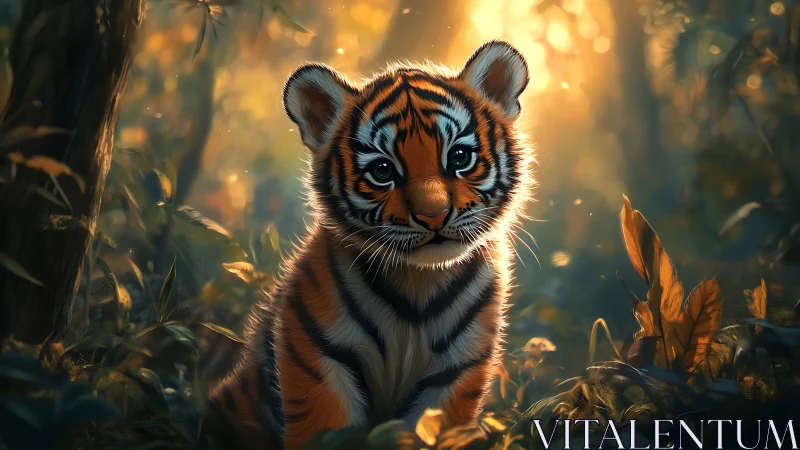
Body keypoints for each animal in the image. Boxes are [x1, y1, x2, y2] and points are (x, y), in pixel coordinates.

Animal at [205, 40, 534, 450]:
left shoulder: (456, 371)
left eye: (459, 157)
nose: (434, 216)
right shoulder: (320, 358)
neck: (419, 284)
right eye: (382, 170)